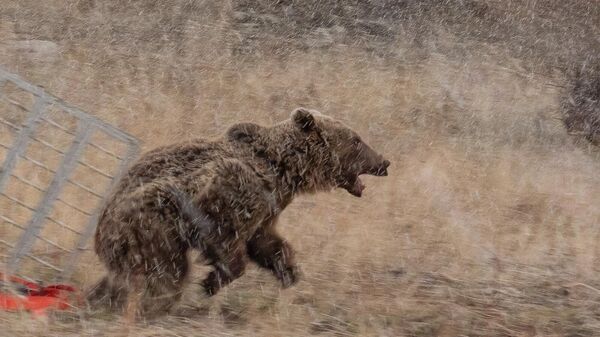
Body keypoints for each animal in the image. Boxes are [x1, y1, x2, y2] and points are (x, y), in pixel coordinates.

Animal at [86, 109, 392, 316]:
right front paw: (211, 282)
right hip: (151, 224)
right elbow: (227, 241)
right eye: (356, 139)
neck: (283, 171)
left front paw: (289, 272)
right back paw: (150, 306)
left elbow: (268, 244)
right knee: (168, 272)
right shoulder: (229, 193)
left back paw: (100, 298)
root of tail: (100, 235)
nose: (384, 162)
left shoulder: (269, 210)